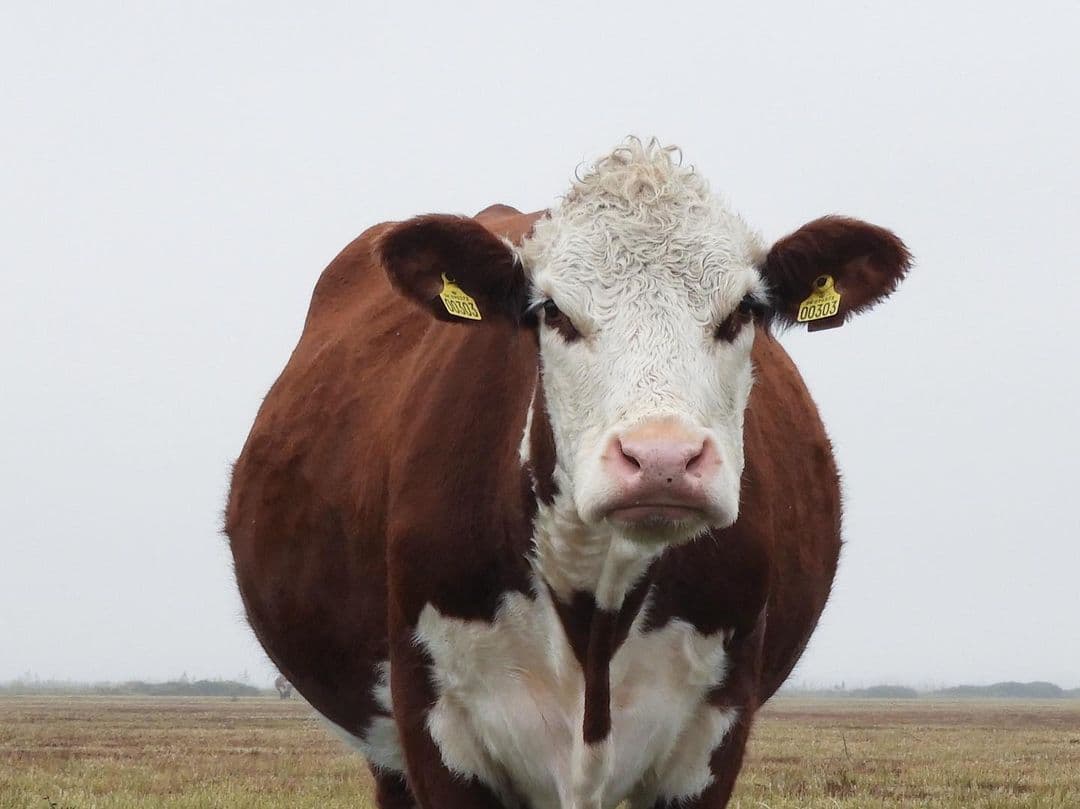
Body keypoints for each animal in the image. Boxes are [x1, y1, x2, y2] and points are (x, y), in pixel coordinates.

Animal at [226, 139, 911, 809]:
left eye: (743, 310)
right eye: (552, 312)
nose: (662, 460)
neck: (595, 606)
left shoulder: (713, 735)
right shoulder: (434, 727)